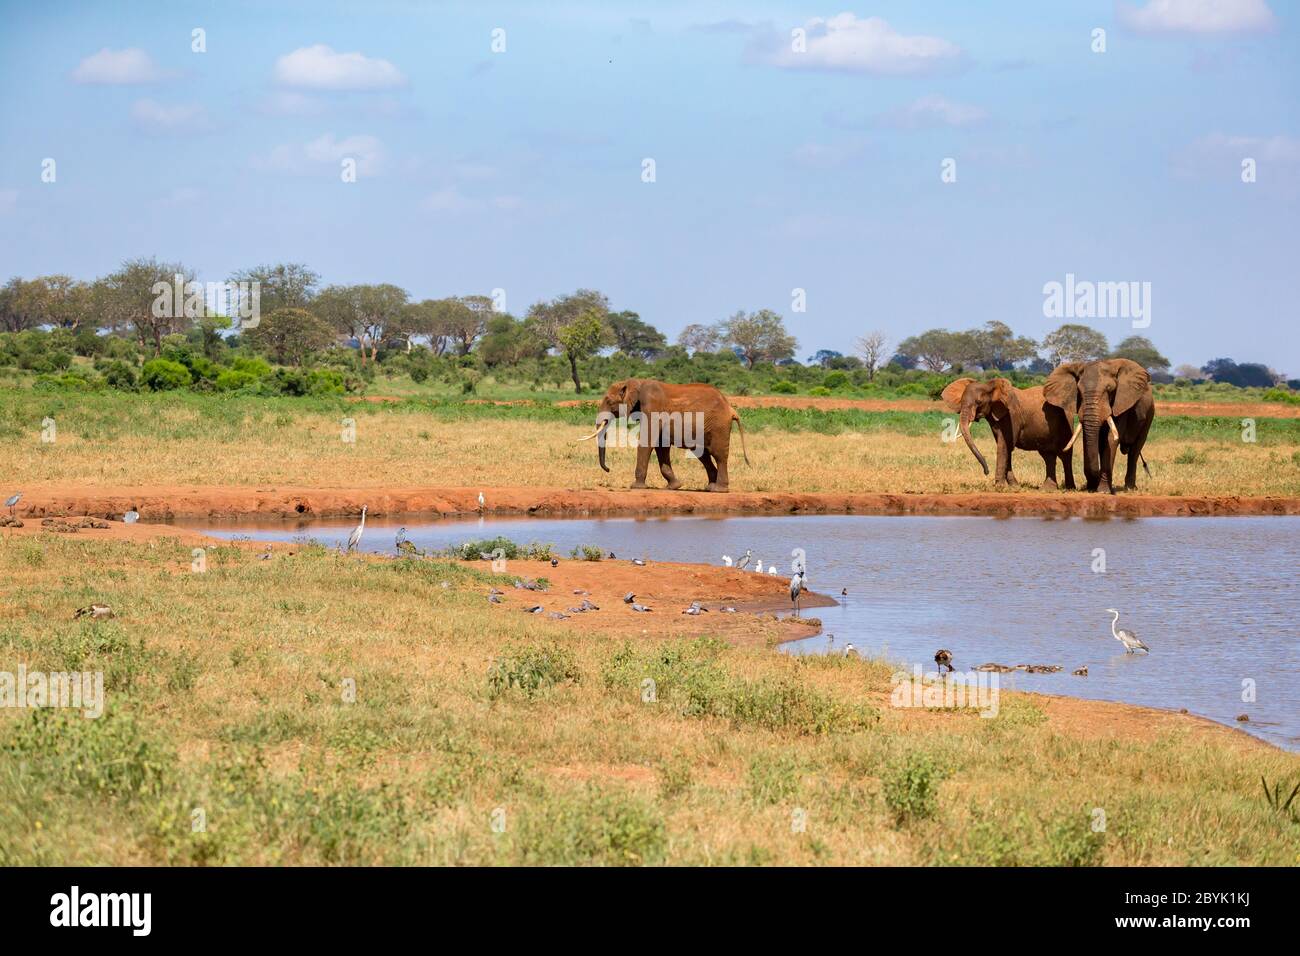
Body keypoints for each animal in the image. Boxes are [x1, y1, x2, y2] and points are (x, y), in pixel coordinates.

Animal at [577, 378, 750, 492]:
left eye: (609, 401)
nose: (608, 469)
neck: (634, 382)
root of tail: (731, 408)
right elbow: (661, 447)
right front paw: (674, 487)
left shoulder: (653, 407)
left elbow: (647, 441)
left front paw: (636, 487)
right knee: (702, 453)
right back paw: (709, 487)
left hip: (719, 426)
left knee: (718, 454)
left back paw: (719, 489)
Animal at [941, 377, 1079, 489]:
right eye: (961, 401)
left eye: (979, 402)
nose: (986, 472)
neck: (989, 386)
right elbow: (1004, 446)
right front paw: (1014, 486)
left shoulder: (1012, 414)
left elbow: (1004, 445)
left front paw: (1000, 487)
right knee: (1048, 454)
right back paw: (1048, 489)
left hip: (1066, 421)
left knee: (1065, 454)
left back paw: (1069, 488)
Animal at [1043, 358, 1154, 494]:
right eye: (1078, 390)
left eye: (1110, 389)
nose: (1090, 486)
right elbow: (1088, 439)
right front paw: (1092, 488)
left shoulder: (1121, 404)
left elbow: (1111, 439)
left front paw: (1103, 491)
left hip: (1149, 415)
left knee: (1135, 450)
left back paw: (1129, 488)